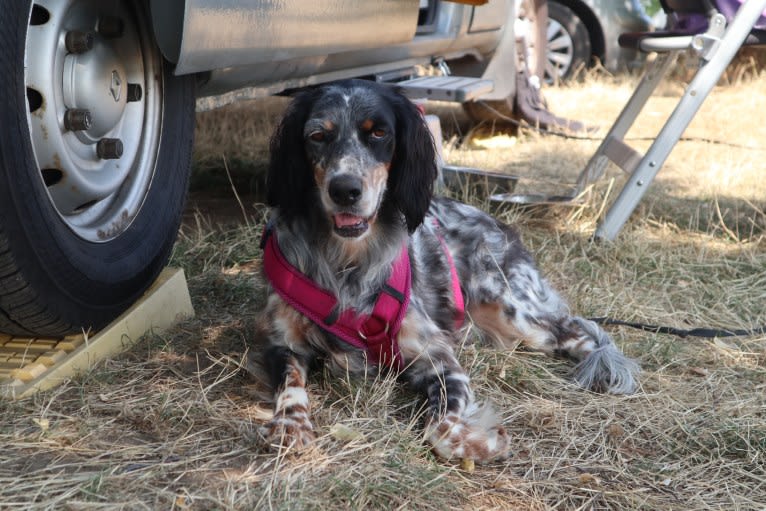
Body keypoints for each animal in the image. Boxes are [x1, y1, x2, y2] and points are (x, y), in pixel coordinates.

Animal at [254, 79, 640, 464]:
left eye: (379, 133)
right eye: (317, 135)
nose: (344, 189)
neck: (347, 261)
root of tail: (498, 224)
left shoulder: (438, 358)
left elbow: (440, 429)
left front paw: (484, 443)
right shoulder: (282, 344)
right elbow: (290, 386)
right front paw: (290, 426)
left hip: (514, 312)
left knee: (580, 333)